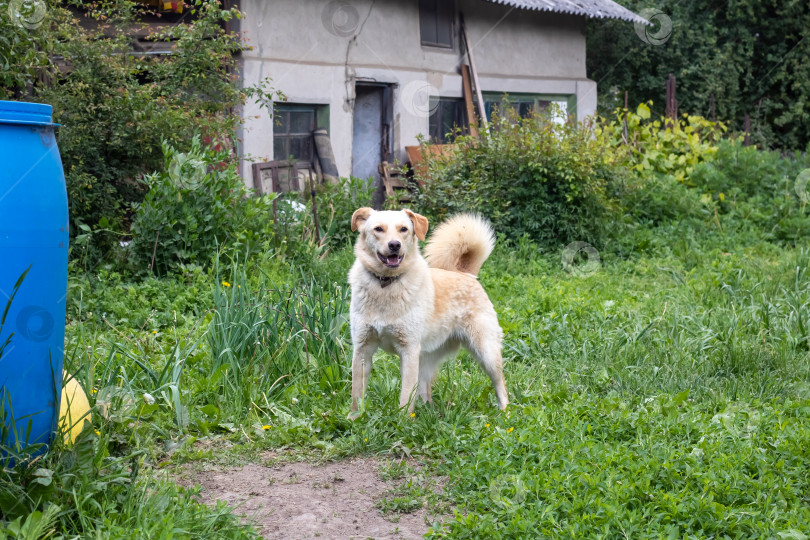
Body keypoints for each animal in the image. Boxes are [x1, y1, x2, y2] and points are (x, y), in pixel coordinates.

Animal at [346, 209, 504, 416]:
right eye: (378, 229)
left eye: (403, 229)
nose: (395, 245)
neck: (386, 284)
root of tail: (465, 274)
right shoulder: (362, 349)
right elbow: (357, 394)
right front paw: (354, 418)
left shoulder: (409, 350)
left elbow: (406, 396)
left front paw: (402, 421)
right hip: (426, 360)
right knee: (425, 392)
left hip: (487, 353)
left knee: (501, 385)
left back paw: (506, 414)